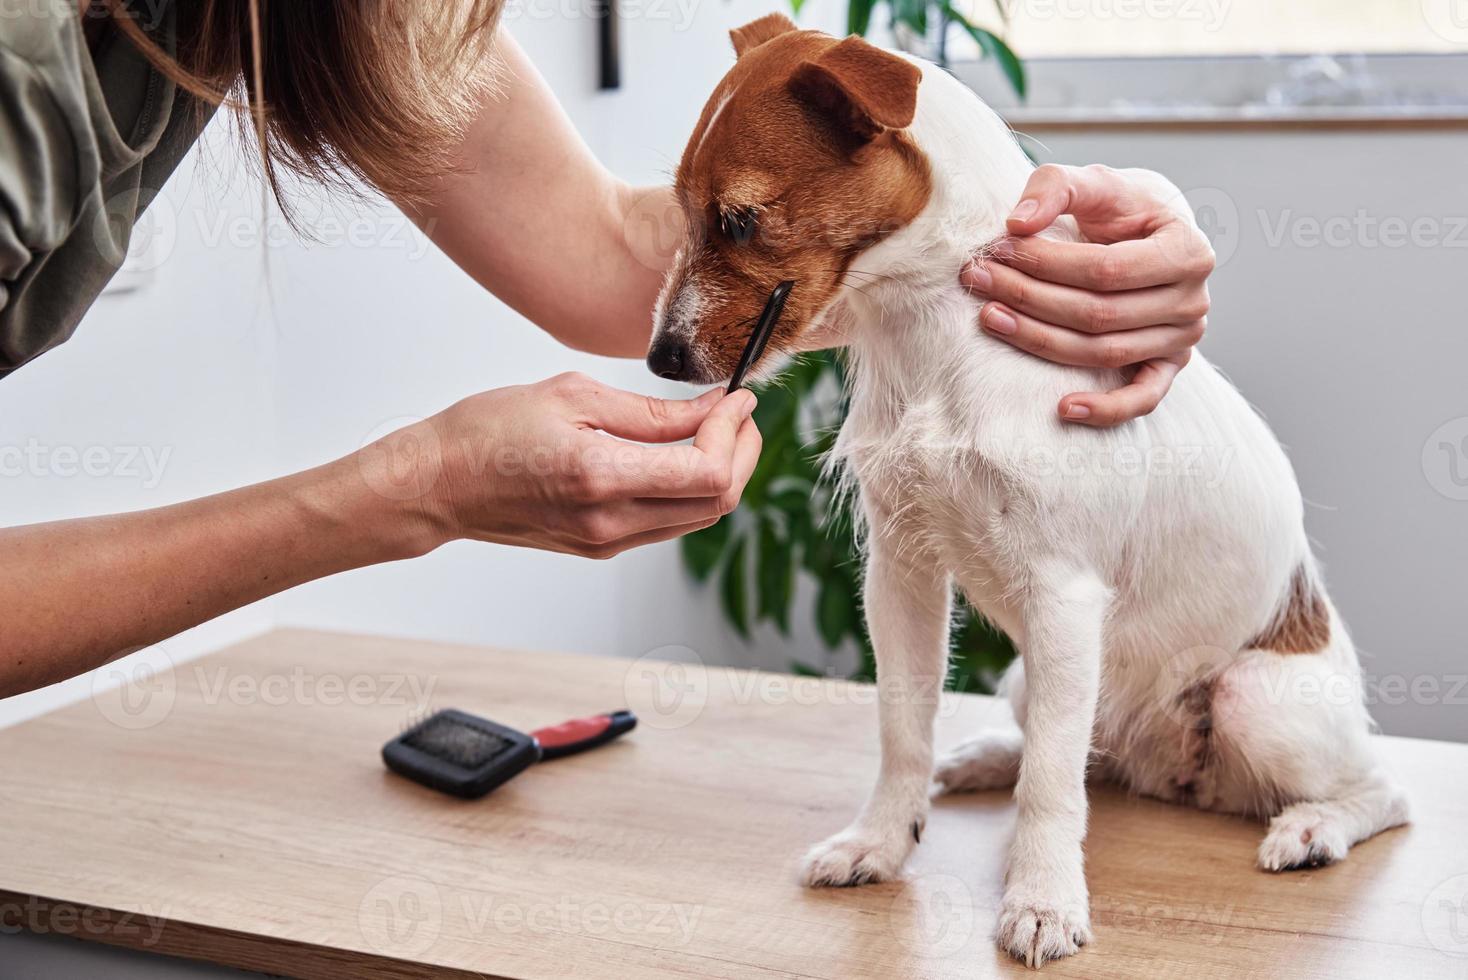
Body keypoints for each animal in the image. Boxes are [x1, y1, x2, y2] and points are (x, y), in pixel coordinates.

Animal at [645, 13, 1409, 962]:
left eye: (741, 219)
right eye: (681, 212)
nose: (660, 358)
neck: (929, 326)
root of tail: (1176, 775)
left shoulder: (1063, 596)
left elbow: (1050, 785)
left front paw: (1043, 901)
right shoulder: (900, 573)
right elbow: (903, 727)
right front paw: (880, 843)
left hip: (1254, 702)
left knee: (1381, 788)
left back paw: (1313, 828)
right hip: (1031, 679)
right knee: (1072, 747)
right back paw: (981, 759)